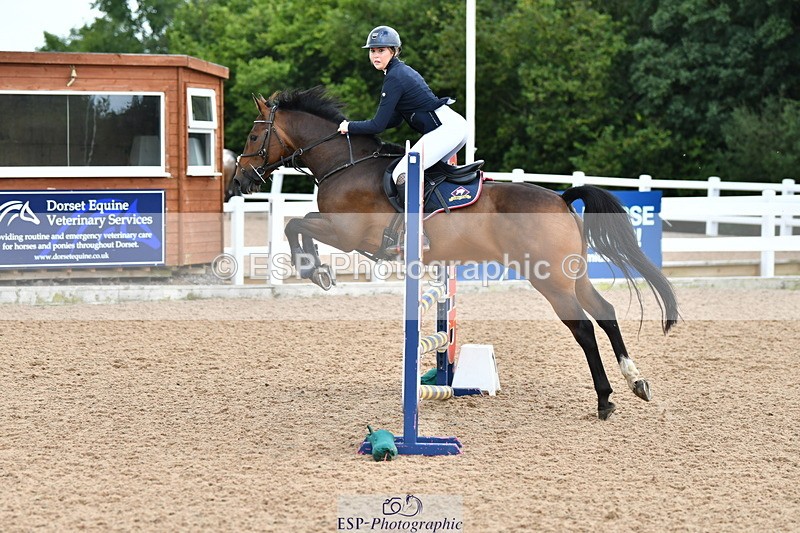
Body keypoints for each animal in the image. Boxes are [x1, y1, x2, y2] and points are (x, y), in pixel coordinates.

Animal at [228, 87, 680, 419]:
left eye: (253, 136)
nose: (239, 182)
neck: (344, 163)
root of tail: (562, 198)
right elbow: (297, 222)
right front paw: (315, 269)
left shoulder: (346, 233)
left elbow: (294, 223)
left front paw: (313, 269)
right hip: (574, 275)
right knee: (605, 313)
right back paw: (636, 383)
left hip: (549, 279)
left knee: (583, 328)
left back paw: (605, 399)